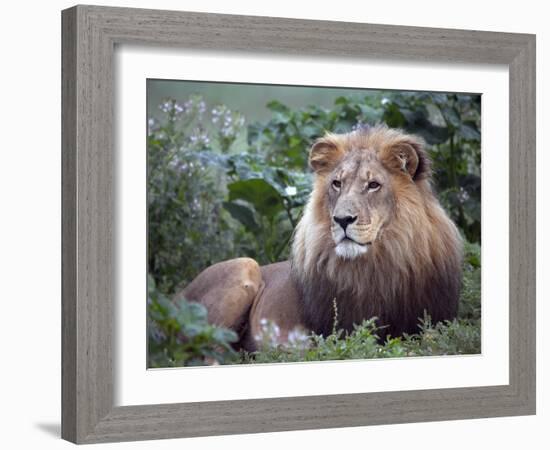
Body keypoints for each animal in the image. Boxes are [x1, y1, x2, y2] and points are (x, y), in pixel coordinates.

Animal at [176, 124, 462, 352]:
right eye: (337, 184)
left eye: (373, 185)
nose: (343, 220)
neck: (377, 266)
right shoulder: (334, 333)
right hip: (244, 266)